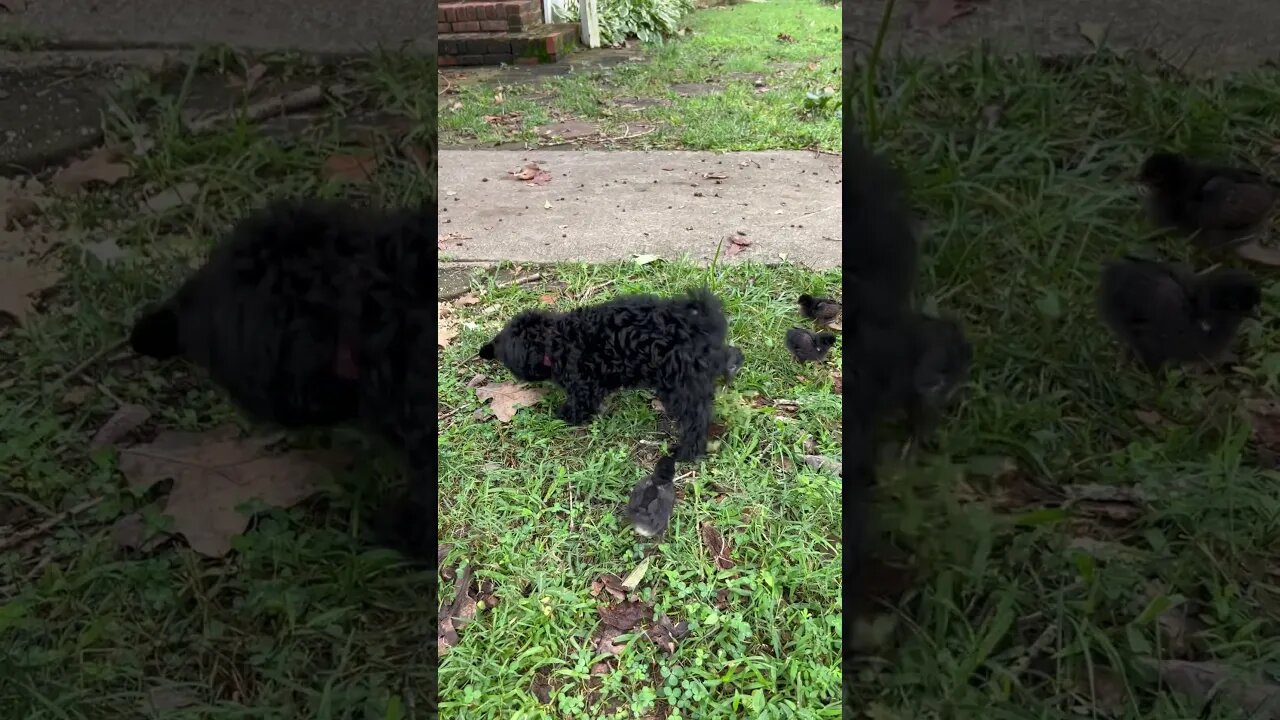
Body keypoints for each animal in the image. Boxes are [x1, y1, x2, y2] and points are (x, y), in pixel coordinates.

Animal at [481, 286, 737, 458]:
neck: (554, 340)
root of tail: (695, 323)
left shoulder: (582, 383)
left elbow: (580, 403)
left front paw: (564, 415)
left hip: (680, 381)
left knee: (697, 417)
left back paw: (687, 451)